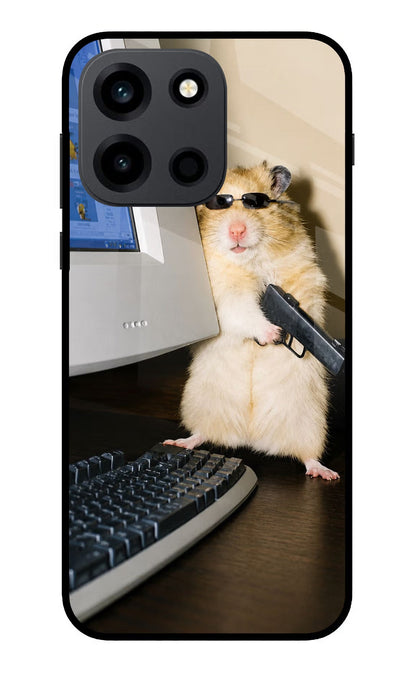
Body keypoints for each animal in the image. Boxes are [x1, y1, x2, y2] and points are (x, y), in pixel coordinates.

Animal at [165, 162, 339, 480]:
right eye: (217, 203)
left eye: (255, 202)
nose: (237, 230)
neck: (248, 260)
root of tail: (251, 438)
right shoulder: (224, 295)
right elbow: (244, 311)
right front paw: (273, 334)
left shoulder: (303, 275)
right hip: (200, 404)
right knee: (202, 433)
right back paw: (179, 441)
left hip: (310, 423)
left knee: (308, 455)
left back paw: (325, 472)